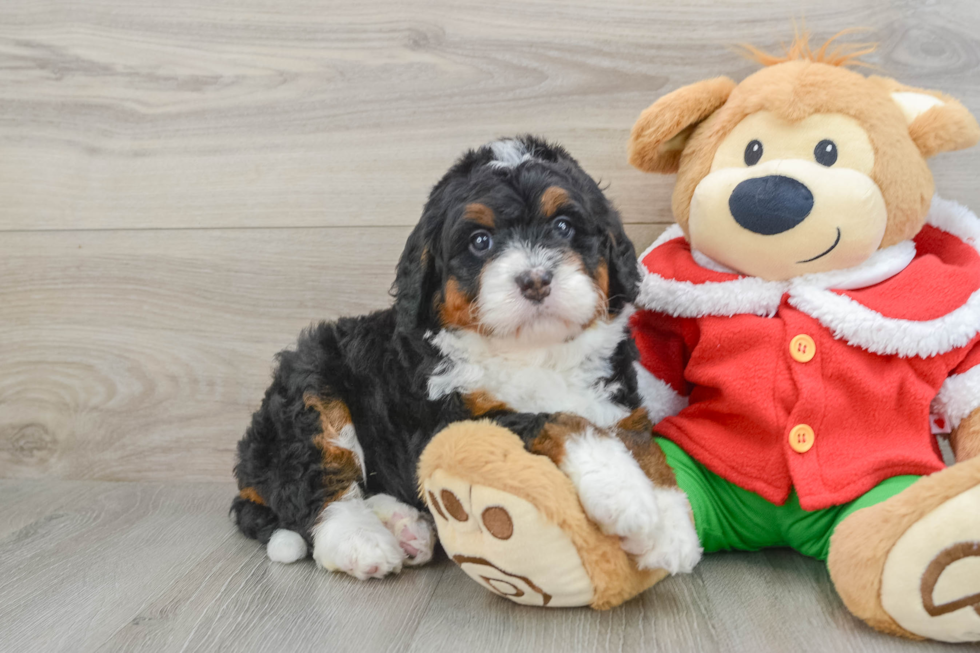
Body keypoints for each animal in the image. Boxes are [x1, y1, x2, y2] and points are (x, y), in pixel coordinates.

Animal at [233, 135, 700, 580]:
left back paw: (404, 525)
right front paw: (625, 493)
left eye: (564, 226)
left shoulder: (615, 400)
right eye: (480, 242)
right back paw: (363, 542)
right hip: (310, 385)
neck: (534, 351)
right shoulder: (451, 420)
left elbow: (644, 446)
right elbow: (560, 420)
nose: (535, 279)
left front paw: (672, 529)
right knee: (321, 483)